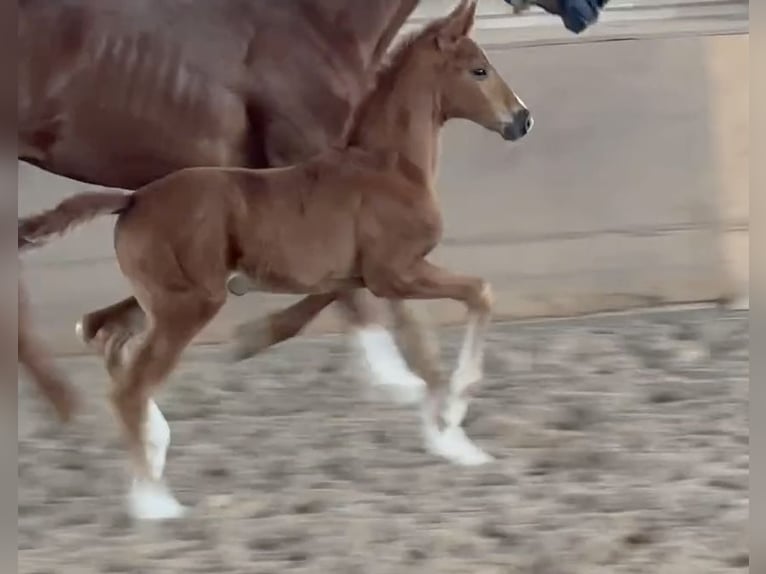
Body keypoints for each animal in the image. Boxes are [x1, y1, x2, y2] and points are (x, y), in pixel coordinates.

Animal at [19, 0, 536, 520]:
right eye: (479, 70)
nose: (522, 119)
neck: (387, 166)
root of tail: (133, 199)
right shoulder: (395, 272)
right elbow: (474, 296)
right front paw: (454, 408)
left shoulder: (357, 273)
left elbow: (348, 308)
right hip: (188, 306)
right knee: (127, 384)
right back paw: (155, 503)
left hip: (162, 300)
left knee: (103, 334)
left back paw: (151, 451)